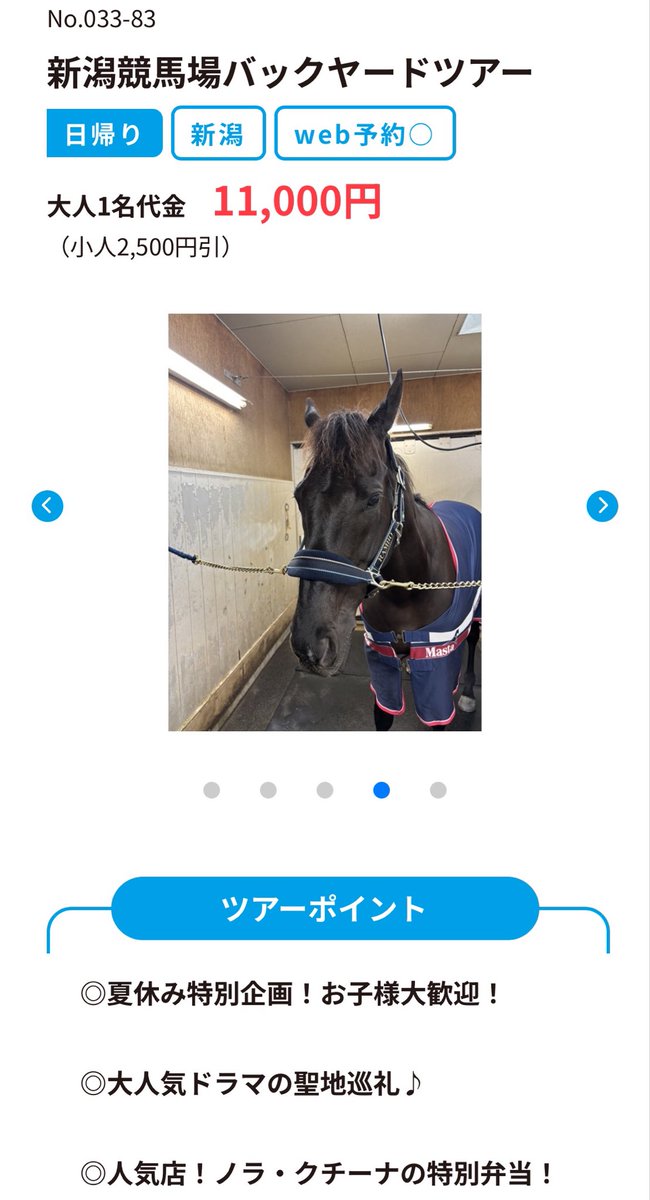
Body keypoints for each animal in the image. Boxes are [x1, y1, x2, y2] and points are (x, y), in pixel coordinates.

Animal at [288, 370, 481, 730]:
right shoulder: (382, 664)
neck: (407, 591)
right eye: (299, 494)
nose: (309, 645)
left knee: (473, 639)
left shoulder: (435, 670)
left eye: (374, 498)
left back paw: (467, 693)